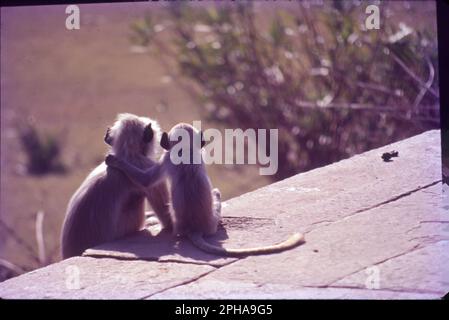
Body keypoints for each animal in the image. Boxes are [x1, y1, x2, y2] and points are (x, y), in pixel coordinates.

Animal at [106, 122, 304, 258]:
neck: (185, 150)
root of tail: (194, 227)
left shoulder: (167, 157)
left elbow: (147, 181)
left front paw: (116, 161)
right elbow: (147, 181)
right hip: (211, 222)